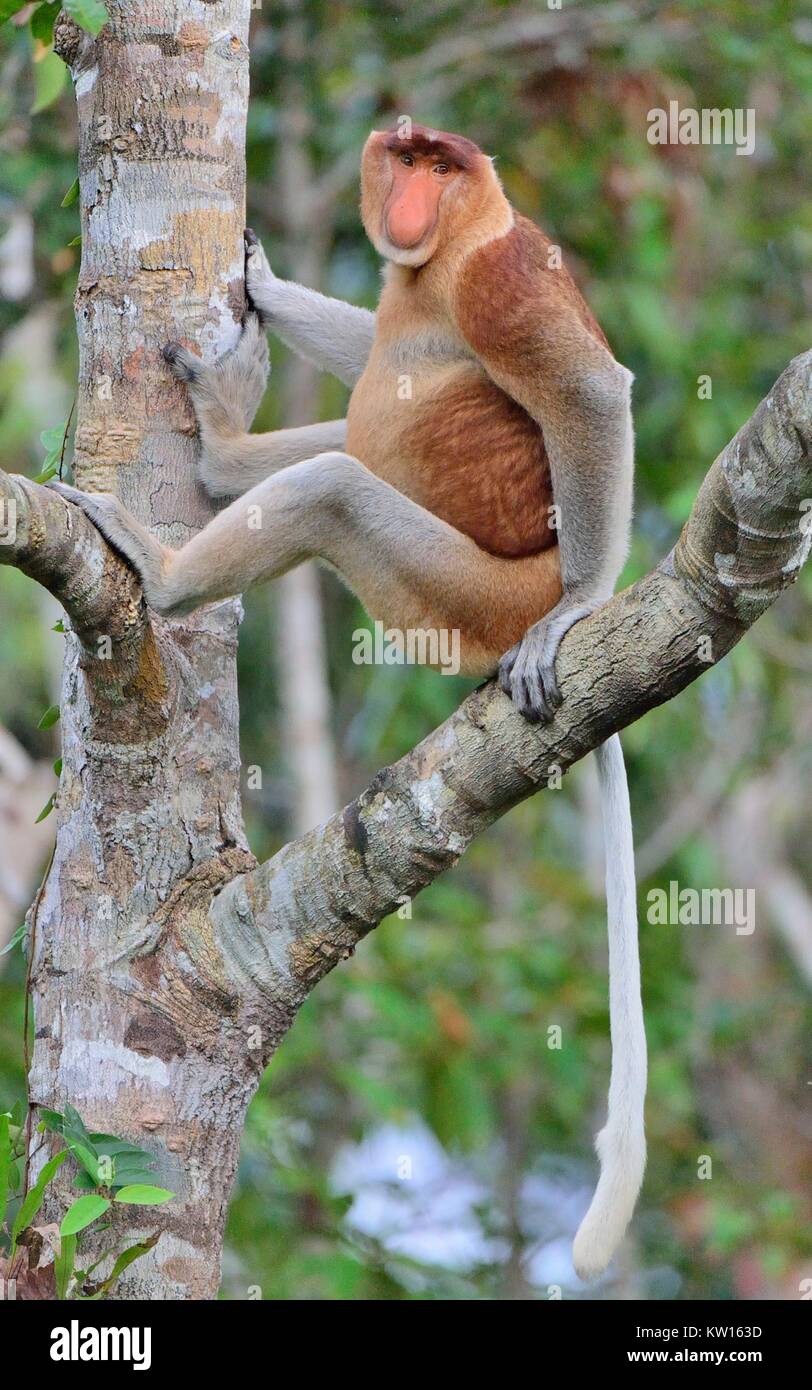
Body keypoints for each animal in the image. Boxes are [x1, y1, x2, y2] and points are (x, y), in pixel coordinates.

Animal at [50, 122, 647, 1278]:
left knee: (334, 486)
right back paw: (224, 455)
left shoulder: (503, 278)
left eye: (443, 166)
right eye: (404, 157)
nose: (410, 193)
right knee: (341, 438)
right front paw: (266, 282)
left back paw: (168, 563)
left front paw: (581, 613)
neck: (447, 252)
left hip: (461, 590)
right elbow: (375, 335)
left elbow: (592, 394)